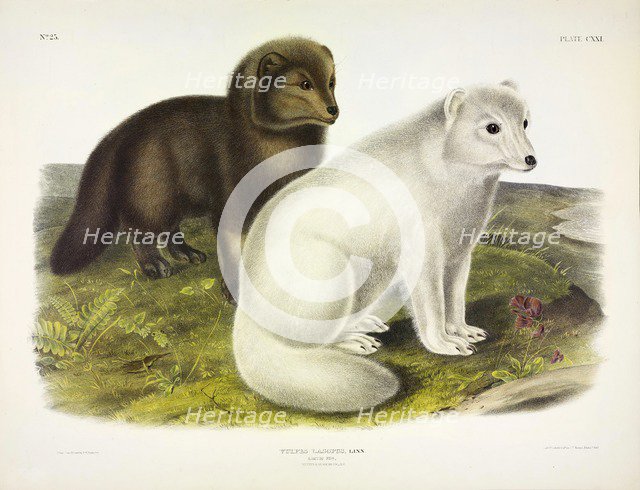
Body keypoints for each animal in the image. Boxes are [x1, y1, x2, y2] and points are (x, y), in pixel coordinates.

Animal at [50, 37, 339, 283]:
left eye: (331, 81)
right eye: (305, 84)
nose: (333, 109)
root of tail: (120, 131)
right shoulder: (230, 192)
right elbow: (231, 242)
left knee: (170, 231)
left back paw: (189, 254)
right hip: (151, 193)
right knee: (139, 231)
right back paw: (155, 266)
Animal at [232, 81, 537, 412]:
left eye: (525, 122)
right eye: (492, 127)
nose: (530, 159)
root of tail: (246, 311)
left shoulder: (461, 248)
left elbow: (455, 296)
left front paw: (463, 330)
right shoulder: (422, 244)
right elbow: (432, 304)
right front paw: (446, 343)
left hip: (374, 270)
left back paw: (364, 325)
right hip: (327, 269)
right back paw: (354, 341)